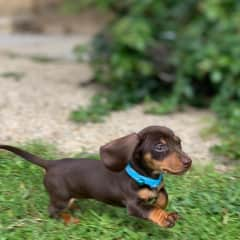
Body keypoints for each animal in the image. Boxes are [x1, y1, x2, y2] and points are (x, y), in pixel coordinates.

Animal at [0, 125, 191, 227]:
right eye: (160, 147)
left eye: (179, 143)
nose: (188, 162)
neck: (144, 176)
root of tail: (51, 164)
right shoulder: (133, 205)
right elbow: (150, 209)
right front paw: (164, 217)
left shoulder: (159, 188)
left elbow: (163, 197)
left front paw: (160, 205)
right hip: (60, 198)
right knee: (52, 211)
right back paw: (69, 219)